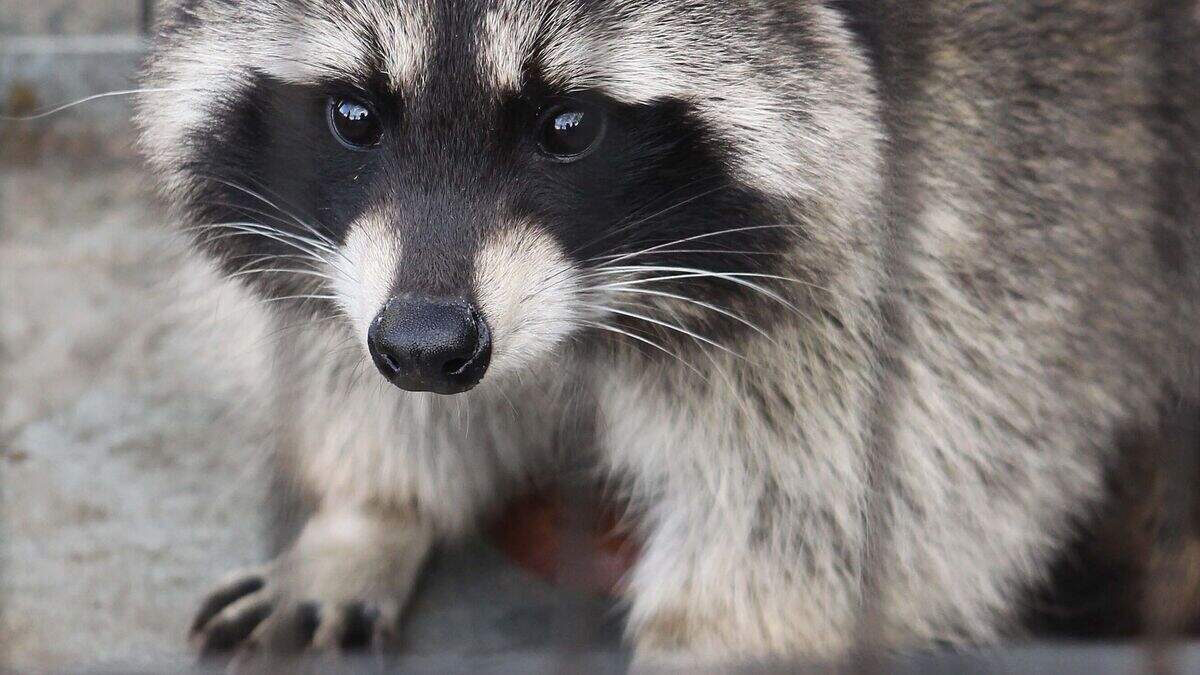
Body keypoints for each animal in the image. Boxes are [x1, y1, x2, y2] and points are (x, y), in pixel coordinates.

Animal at [137, 0, 1200, 664]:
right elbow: (335, 353)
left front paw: (718, 628)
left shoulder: (1009, 168)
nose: (427, 350)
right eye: (354, 114)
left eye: (569, 126)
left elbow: (877, 474)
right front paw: (367, 510)